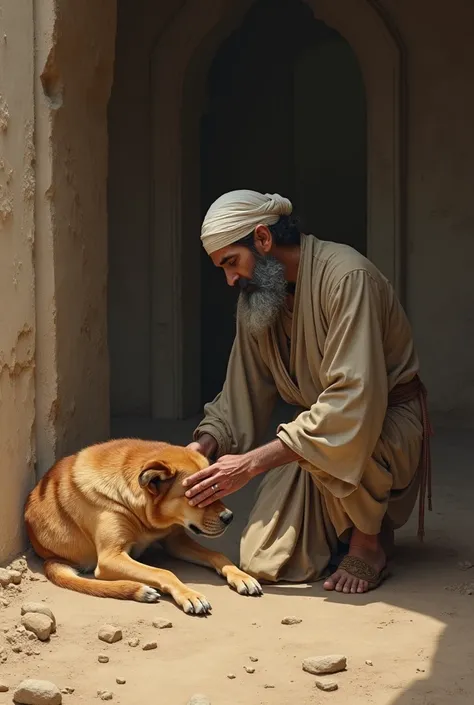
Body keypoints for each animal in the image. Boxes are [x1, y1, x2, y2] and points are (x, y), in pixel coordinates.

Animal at [24, 438, 262, 612]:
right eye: (197, 494)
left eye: (217, 488)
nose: (229, 517)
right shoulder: (111, 557)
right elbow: (163, 572)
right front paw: (189, 594)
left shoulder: (175, 541)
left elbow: (217, 555)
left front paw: (242, 576)